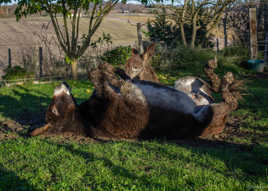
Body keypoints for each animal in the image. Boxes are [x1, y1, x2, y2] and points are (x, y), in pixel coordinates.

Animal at [30, 62, 242, 140]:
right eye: (53, 110)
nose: (61, 83)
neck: (84, 117)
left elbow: (105, 75)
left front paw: (114, 71)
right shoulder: (116, 97)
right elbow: (97, 76)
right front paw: (113, 75)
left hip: (183, 82)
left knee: (214, 90)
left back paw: (214, 76)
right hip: (208, 113)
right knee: (231, 101)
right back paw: (224, 80)